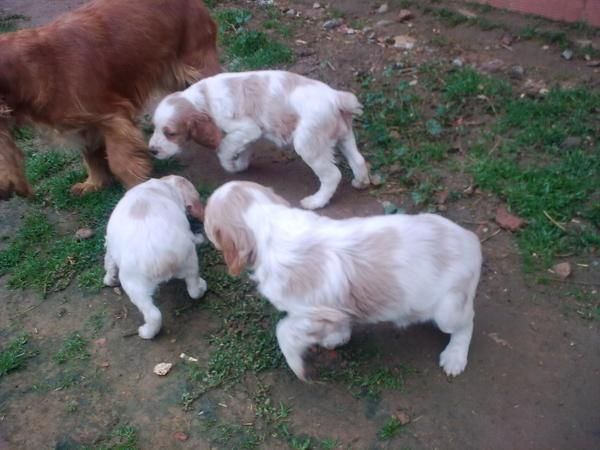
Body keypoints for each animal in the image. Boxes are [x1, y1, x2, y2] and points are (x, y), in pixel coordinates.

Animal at [0, 0, 219, 200]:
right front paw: (94, 183)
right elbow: (91, 155)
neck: (35, 68)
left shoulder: (113, 118)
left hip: (195, 63)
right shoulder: (85, 125)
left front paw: (136, 190)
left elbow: (120, 162)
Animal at [103, 175, 206, 338]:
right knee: (193, 291)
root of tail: (163, 259)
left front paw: (109, 279)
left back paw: (146, 332)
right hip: (189, 263)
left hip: (133, 284)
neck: (161, 186)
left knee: (154, 314)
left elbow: (108, 262)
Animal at [147, 69, 370, 210]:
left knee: (332, 175)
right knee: (358, 160)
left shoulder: (245, 127)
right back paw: (361, 182)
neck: (204, 98)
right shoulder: (251, 133)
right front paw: (240, 164)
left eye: (170, 133)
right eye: (154, 127)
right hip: (344, 136)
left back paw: (316, 202)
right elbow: (244, 148)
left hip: (308, 143)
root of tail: (337, 97)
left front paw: (230, 165)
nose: (152, 151)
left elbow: (224, 147)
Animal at [204, 181, 486, 382]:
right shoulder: (335, 309)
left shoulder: (313, 312)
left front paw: (297, 366)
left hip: (449, 310)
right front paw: (336, 338)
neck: (268, 223)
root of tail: (470, 239)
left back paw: (454, 357)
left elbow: (284, 331)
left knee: (468, 323)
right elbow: (340, 323)